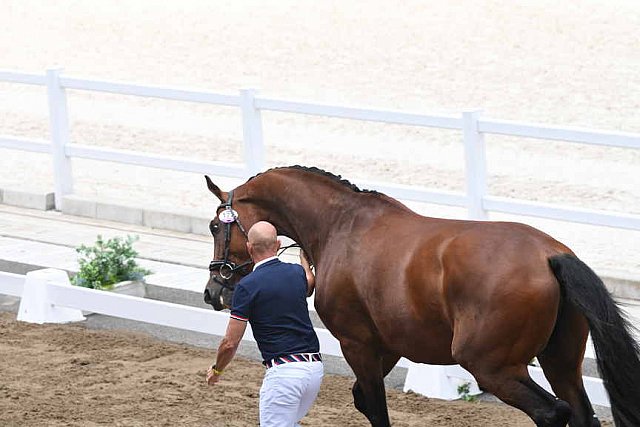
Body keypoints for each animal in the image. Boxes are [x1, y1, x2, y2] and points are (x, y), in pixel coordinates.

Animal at [204, 166, 640, 427]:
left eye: (214, 226)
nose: (213, 292)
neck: (341, 226)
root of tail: (550, 254)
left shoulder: (356, 344)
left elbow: (376, 407)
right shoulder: (387, 346)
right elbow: (363, 399)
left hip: (492, 366)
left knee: (552, 413)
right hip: (560, 362)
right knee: (581, 414)